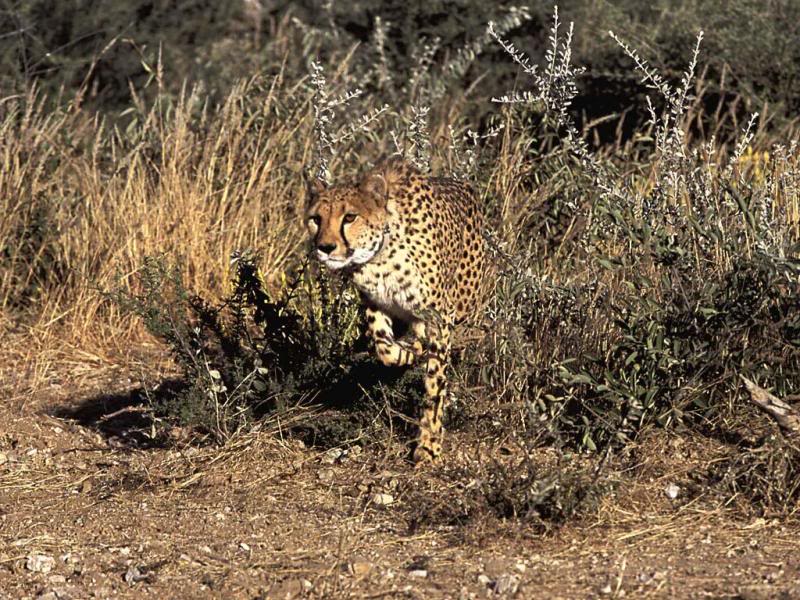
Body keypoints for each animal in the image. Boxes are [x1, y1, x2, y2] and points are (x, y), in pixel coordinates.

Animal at [304, 157, 488, 463]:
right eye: (316, 218)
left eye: (350, 217)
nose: (325, 247)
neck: (380, 254)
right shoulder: (375, 302)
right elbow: (384, 348)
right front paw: (406, 352)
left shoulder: (439, 315)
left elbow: (434, 384)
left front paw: (429, 444)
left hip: (466, 304)